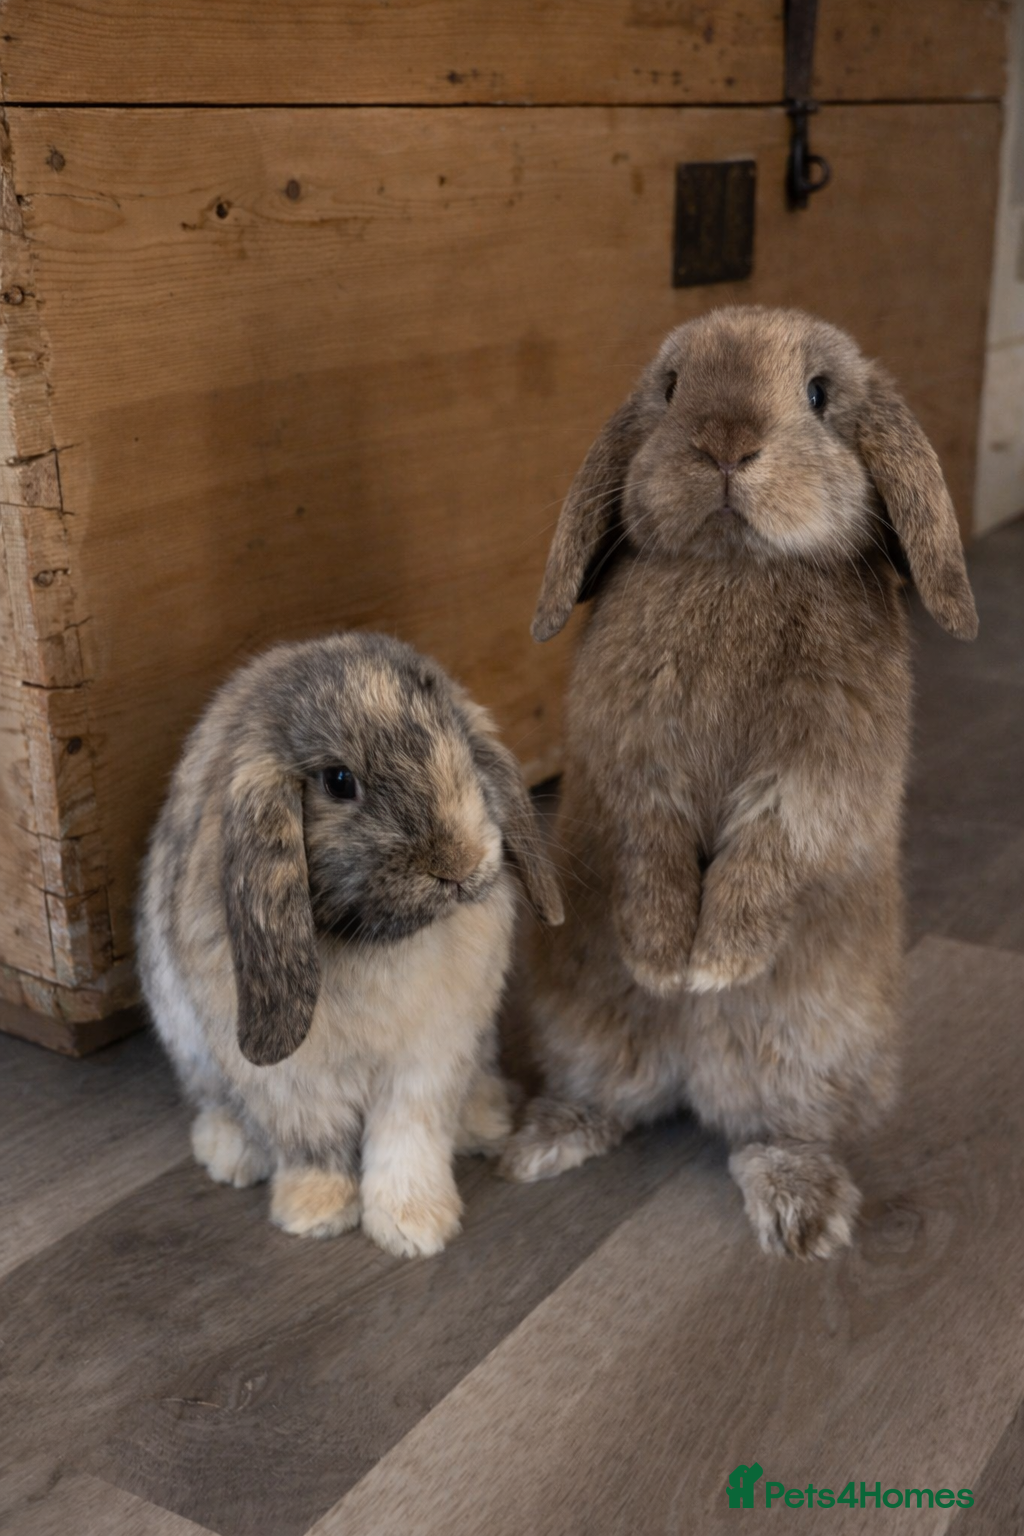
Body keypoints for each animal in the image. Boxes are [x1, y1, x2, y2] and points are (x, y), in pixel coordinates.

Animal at [137, 631, 563, 1259]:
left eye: (461, 745)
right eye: (339, 781)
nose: (459, 866)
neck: (375, 942)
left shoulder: (428, 1060)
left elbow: (407, 1139)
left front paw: (414, 1226)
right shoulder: (294, 1081)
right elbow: (313, 1144)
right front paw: (315, 1212)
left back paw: (486, 1120)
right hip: (191, 1046)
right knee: (216, 1102)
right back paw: (230, 1153)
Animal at [499, 305, 977, 1259]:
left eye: (820, 394)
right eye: (671, 387)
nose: (724, 444)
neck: (739, 563)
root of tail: (692, 1080)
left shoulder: (815, 772)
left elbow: (772, 846)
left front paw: (714, 965)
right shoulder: (633, 765)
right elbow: (649, 841)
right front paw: (661, 958)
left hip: (813, 1051)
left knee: (773, 1132)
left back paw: (804, 1215)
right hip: (580, 1021)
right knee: (612, 1098)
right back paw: (544, 1142)